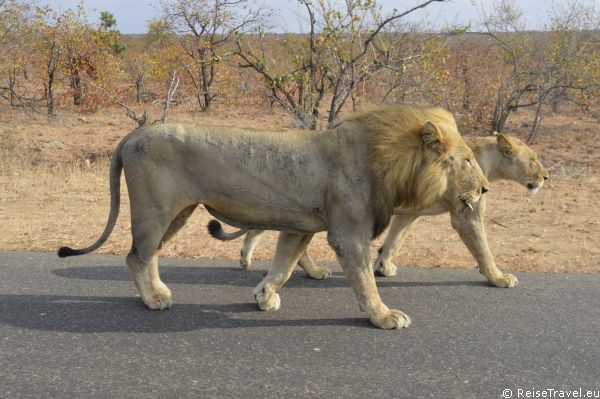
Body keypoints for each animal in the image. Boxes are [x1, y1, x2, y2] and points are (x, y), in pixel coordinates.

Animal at [56, 104, 490, 330]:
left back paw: (159, 292)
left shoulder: (300, 229)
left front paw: (264, 297)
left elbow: (282, 266)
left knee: (148, 255)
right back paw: (154, 300)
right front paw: (384, 316)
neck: (389, 161)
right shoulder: (348, 234)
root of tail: (131, 136)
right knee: (137, 256)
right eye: (468, 160)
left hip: (179, 212)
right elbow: (366, 282)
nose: (486, 188)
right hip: (156, 210)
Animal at [209, 134, 548, 288]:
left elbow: (395, 239)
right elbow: (483, 248)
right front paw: (498, 277)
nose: (546, 177)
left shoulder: (409, 211)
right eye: (533, 159)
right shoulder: (466, 213)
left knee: (262, 230)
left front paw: (383, 266)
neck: (485, 161)